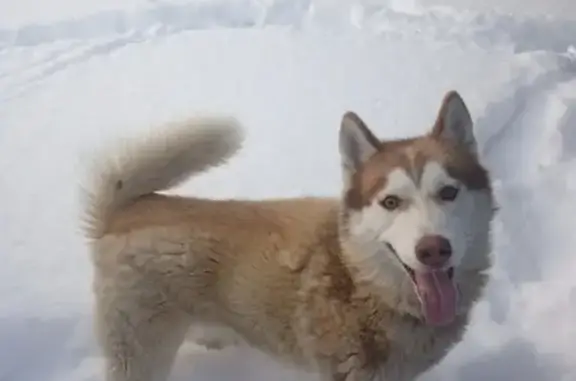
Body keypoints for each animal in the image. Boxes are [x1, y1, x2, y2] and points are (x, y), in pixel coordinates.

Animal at [81, 91, 496, 380]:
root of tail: (124, 211)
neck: (359, 282)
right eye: (391, 202)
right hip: (140, 351)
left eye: (448, 192)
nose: (433, 250)